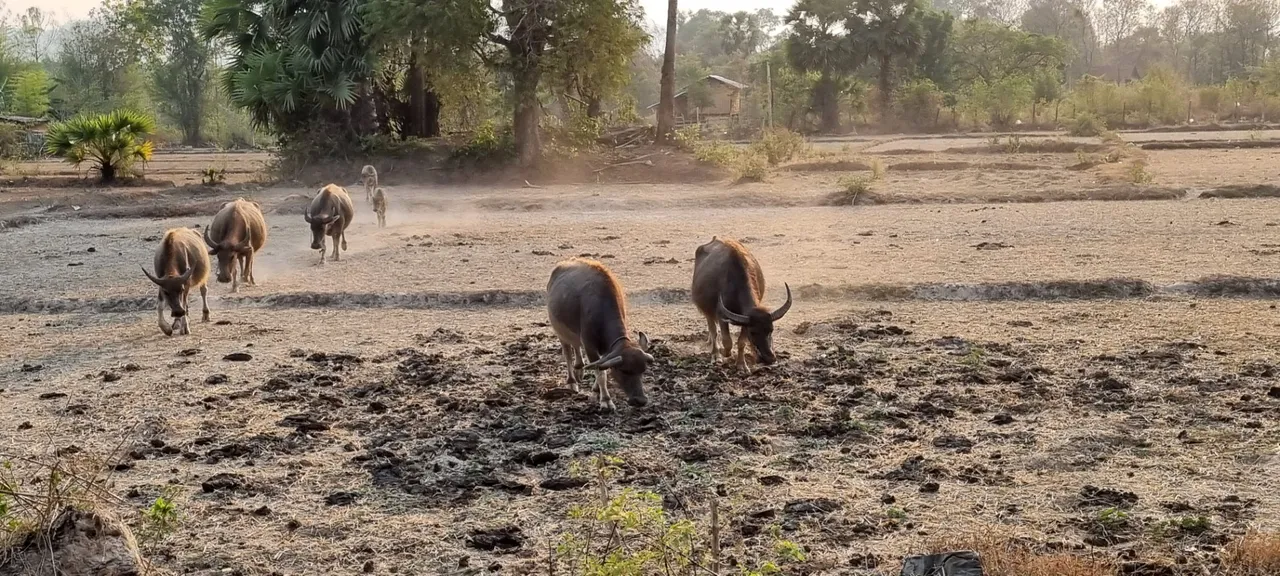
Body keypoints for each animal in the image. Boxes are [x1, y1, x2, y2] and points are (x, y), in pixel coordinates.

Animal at [547, 256, 655, 409]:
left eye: (643, 370)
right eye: (623, 370)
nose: (640, 400)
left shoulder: (606, 349)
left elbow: (602, 365)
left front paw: (596, 389)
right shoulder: (589, 345)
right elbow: (601, 372)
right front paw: (606, 400)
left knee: (576, 345)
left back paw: (579, 368)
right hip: (559, 331)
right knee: (567, 354)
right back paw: (572, 381)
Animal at [691, 236, 788, 371]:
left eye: (771, 330)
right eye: (753, 332)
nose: (769, 358)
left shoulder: (744, 321)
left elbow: (741, 342)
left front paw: (742, 364)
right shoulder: (722, 316)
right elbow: (727, 341)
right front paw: (724, 353)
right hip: (706, 309)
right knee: (713, 330)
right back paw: (715, 354)